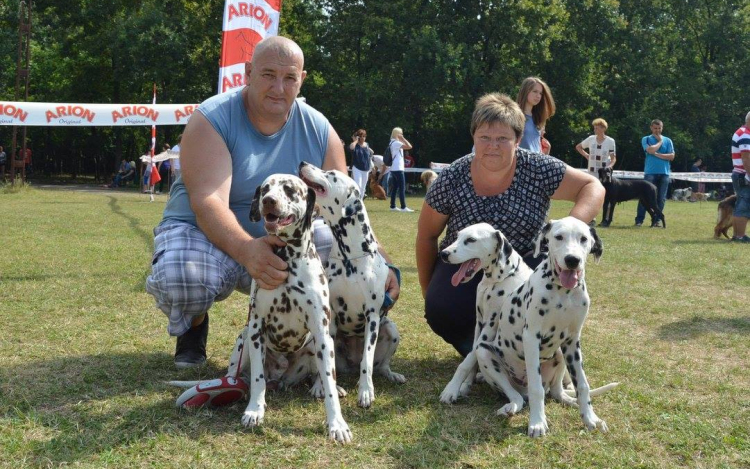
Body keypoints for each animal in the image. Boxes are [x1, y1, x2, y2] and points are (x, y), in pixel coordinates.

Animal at [244, 173, 356, 442]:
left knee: (323, 376)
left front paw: (337, 424)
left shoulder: (322, 333)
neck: (287, 260)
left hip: (320, 345)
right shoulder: (255, 330)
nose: (269, 200)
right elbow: (257, 379)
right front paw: (254, 410)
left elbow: (329, 385)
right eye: (265, 189)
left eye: (289, 189)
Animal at [300, 160, 406, 406]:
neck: (350, 257)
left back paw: (391, 374)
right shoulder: (329, 318)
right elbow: (324, 364)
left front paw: (366, 390)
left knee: (379, 366)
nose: (303, 163)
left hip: (391, 329)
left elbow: (367, 360)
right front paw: (323, 387)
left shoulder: (372, 317)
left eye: (331, 174)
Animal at [434, 223, 536, 402]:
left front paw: (451, 389)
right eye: (458, 236)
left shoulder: (489, 327)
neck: (498, 279)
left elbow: (466, 362)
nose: (444, 253)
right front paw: (466, 385)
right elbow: (472, 359)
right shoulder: (479, 324)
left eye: (471, 240)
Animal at [472, 218, 620, 436]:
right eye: (558, 237)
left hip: (559, 352)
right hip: (484, 352)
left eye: (584, 239)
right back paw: (511, 406)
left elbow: (582, 384)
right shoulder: (531, 338)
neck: (563, 293)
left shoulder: (572, 342)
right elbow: (537, 389)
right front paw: (537, 422)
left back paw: (571, 401)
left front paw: (590, 418)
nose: (572, 260)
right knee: (517, 395)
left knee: (557, 392)